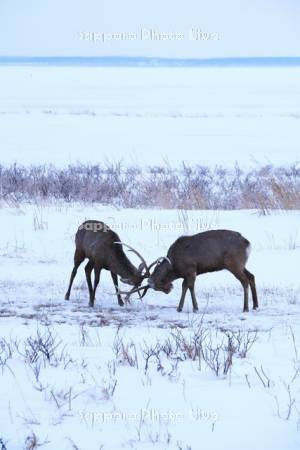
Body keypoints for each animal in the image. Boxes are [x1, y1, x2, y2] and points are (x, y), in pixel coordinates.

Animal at [123, 230, 258, 312]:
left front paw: (195, 308)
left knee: (244, 281)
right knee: (251, 276)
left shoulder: (191, 269)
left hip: (234, 264)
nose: (169, 288)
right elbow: (184, 287)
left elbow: (190, 286)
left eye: (157, 285)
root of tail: (248, 244)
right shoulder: (185, 274)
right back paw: (255, 305)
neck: (174, 266)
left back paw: (245, 308)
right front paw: (179, 308)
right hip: (241, 265)